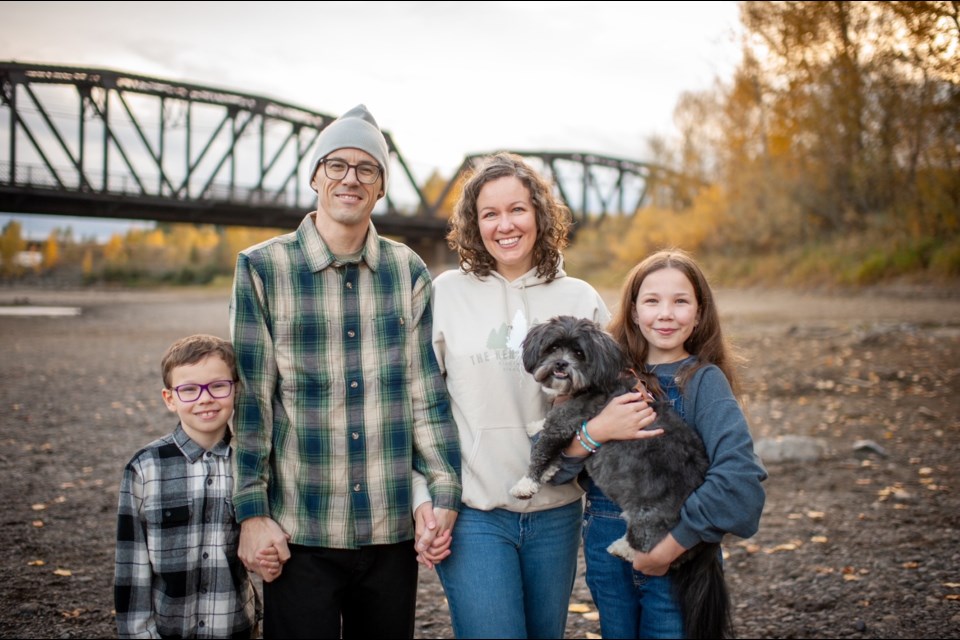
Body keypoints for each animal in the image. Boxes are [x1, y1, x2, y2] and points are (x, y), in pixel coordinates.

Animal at [512, 316, 732, 640]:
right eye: (553, 348)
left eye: (579, 353)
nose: (561, 364)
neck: (588, 385)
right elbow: (557, 450)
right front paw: (542, 442)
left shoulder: (566, 420)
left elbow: (542, 450)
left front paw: (526, 484)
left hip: (652, 515)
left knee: (655, 544)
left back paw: (623, 548)